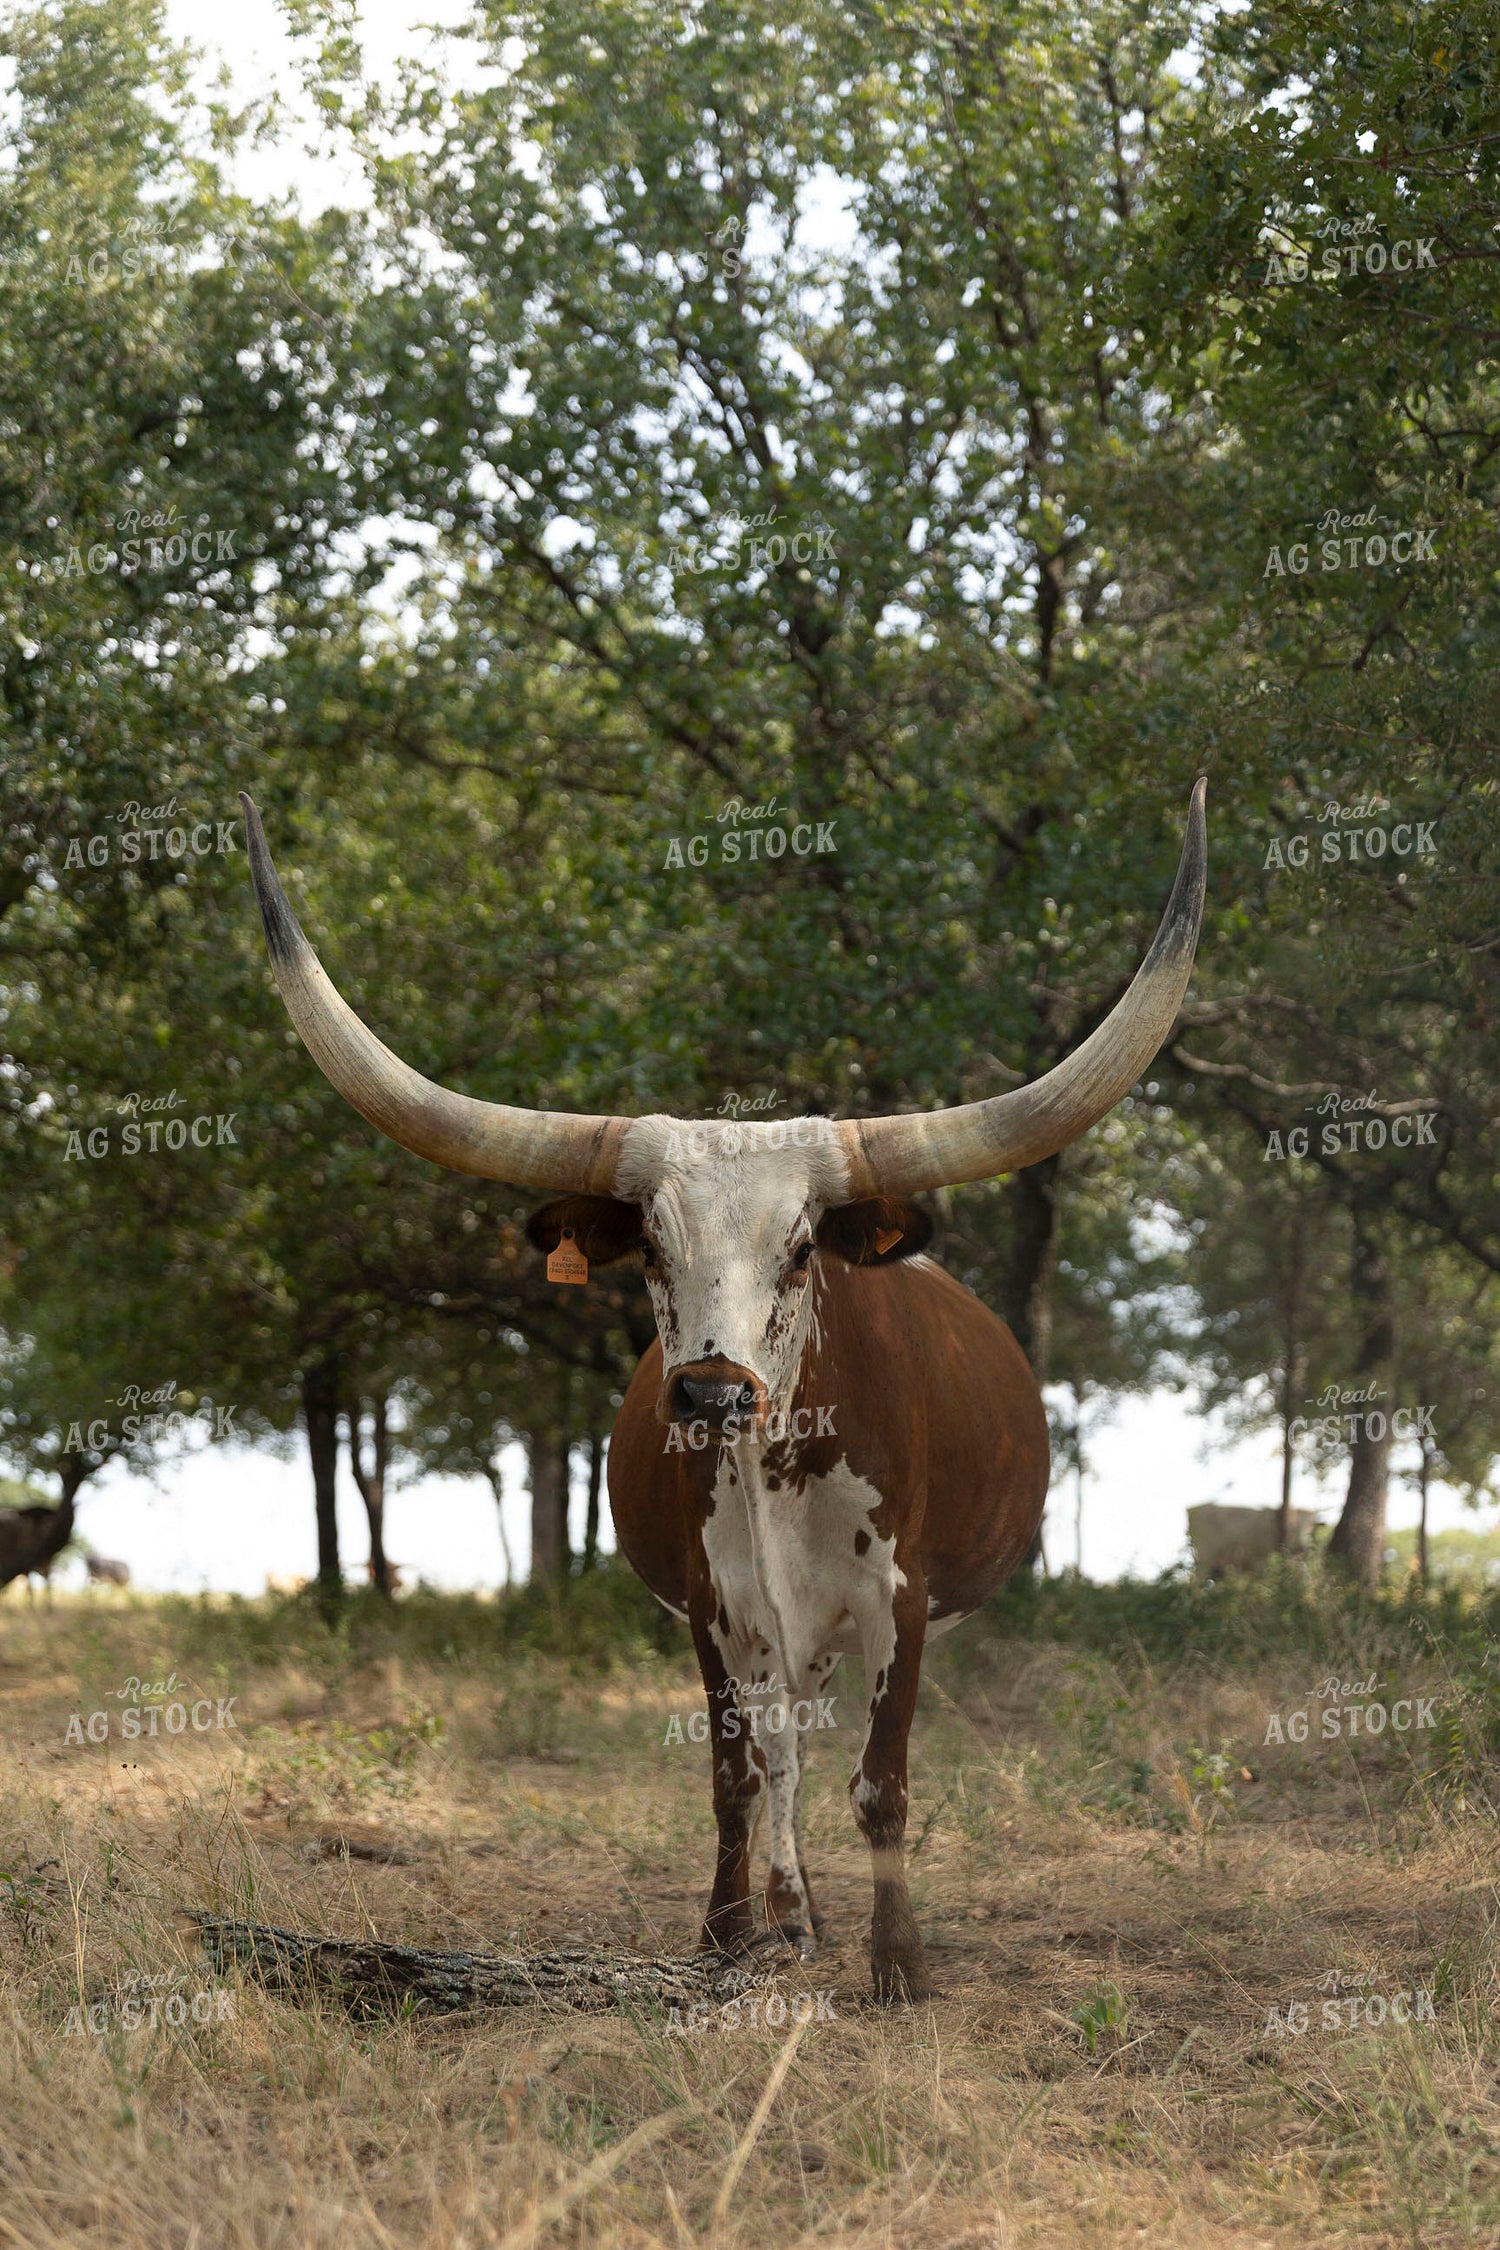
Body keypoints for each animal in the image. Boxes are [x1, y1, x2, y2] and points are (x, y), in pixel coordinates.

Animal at [241, 779, 1206, 1999]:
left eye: (799, 1250)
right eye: (652, 1249)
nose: (709, 1399)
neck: (775, 1468)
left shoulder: (898, 1602)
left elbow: (881, 1784)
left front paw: (899, 1965)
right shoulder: (716, 1606)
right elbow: (737, 1776)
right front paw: (728, 1936)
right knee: (784, 1755)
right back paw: (792, 1916)